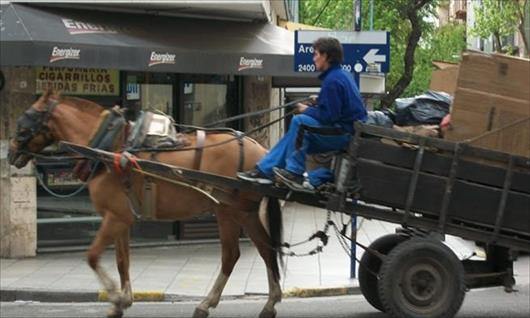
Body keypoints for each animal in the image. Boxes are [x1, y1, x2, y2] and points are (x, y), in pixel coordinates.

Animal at [6, 89, 282, 318]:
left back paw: (207, 303)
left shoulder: (115, 216)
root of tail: (259, 150)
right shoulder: (120, 218)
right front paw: (123, 301)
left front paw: (115, 297)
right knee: (266, 249)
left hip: (229, 211)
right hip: (244, 212)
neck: (110, 148)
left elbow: (92, 256)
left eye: (26, 118)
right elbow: (122, 260)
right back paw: (270, 303)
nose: (10, 153)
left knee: (232, 255)